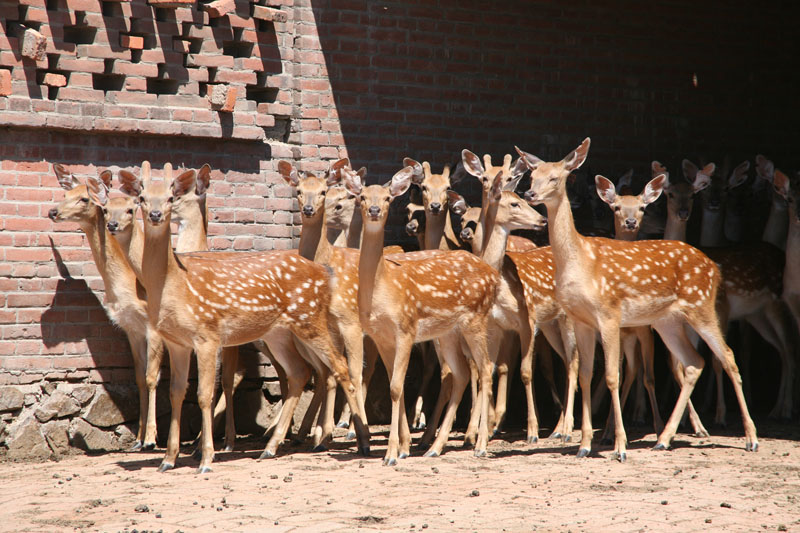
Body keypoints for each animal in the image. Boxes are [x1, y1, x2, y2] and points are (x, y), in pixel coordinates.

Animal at [48, 164, 166, 450]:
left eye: (85, 198)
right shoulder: (132, 330)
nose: (53, 212)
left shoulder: (154, 327)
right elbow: (139, 378)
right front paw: (137, 440)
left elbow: (152, 377)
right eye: (65, 194)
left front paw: (151, 439)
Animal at [118, 164, 368, 472]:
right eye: (141, 198)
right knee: (300, 372)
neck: (174, 285)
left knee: (342, 368)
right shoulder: (177, 341)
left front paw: (206, 457)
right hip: (278, 334)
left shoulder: (208, 335)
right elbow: (177, 393)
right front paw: (168, 459)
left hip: (311, 320)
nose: (154, 215)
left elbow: (204, 394)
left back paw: (359, 441)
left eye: (170, 197)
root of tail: (324, 271)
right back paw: (272, 446)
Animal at [340, 164, 496, 464]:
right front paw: (402, 448)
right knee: (460, 373)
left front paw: (392, 453)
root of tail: (494, 276)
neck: (383, 287)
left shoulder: (406, 328)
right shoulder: (381, 337)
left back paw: (480, 444)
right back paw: (435, 447)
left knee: (485, 369)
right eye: (362, 196)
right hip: (448, 332)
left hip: (477, 318)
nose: (374, 210)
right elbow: (395, 386)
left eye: (388, 198)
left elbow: (396, 387)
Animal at [516, 137, 760, 458]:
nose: (529, 193)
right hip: (667, 321)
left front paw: (619, 446)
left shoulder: (609, 313)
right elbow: (584, 374)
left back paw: (750, 438)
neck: (579, 261)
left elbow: (612, 376)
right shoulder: (581, 320)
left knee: (727, 357)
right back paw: (663, 438)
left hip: (702, 306)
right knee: (693, 362)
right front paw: (583, 445)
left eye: (555, 177)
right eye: (532, 176)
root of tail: (713, 266)